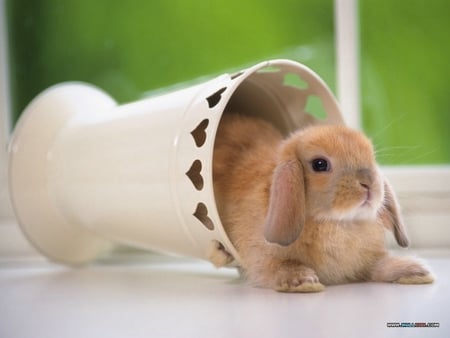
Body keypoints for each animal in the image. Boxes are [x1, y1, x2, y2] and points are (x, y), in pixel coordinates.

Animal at [209, 112, 434, 292]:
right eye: (319, 164)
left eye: (371, 157)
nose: (368, 183)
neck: (337, 223)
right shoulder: (261, 260)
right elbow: (279, 266)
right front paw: (304, 281)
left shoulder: (365, 262)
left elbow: (380, 266)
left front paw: (416, 271)